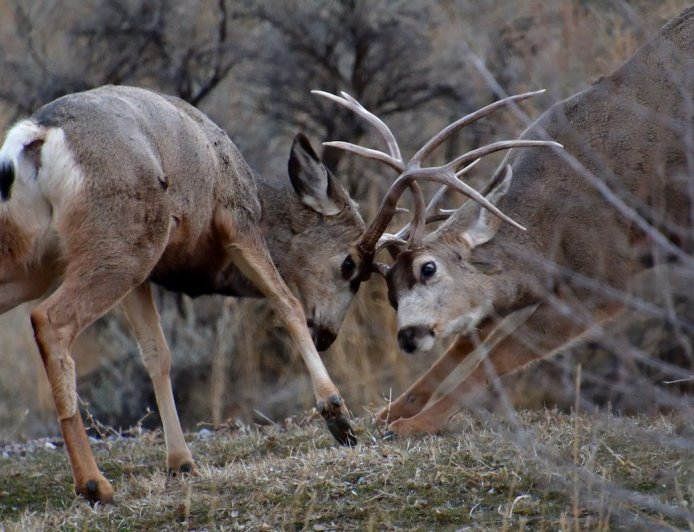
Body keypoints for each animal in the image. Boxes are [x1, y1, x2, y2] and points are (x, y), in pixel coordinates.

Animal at [0, 84, 373, 504]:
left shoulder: (145, 278)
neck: (258, 197)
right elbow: (287, 303)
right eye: (351, 265)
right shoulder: (235, 221)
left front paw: (181, 463)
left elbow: (157, 354)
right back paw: (94, 483)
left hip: (41, 261)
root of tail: (38, 134)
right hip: (121, 245)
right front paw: (338, 416)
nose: (327, 335)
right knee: (48, 319)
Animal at [317, 6, 694, 436]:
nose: (408, 337)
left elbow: (495, 360)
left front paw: (415, 425)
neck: (548, 226)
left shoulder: (603, 275)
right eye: (392, 293)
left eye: (429, 268)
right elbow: (465, 344)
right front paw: (390, 414)